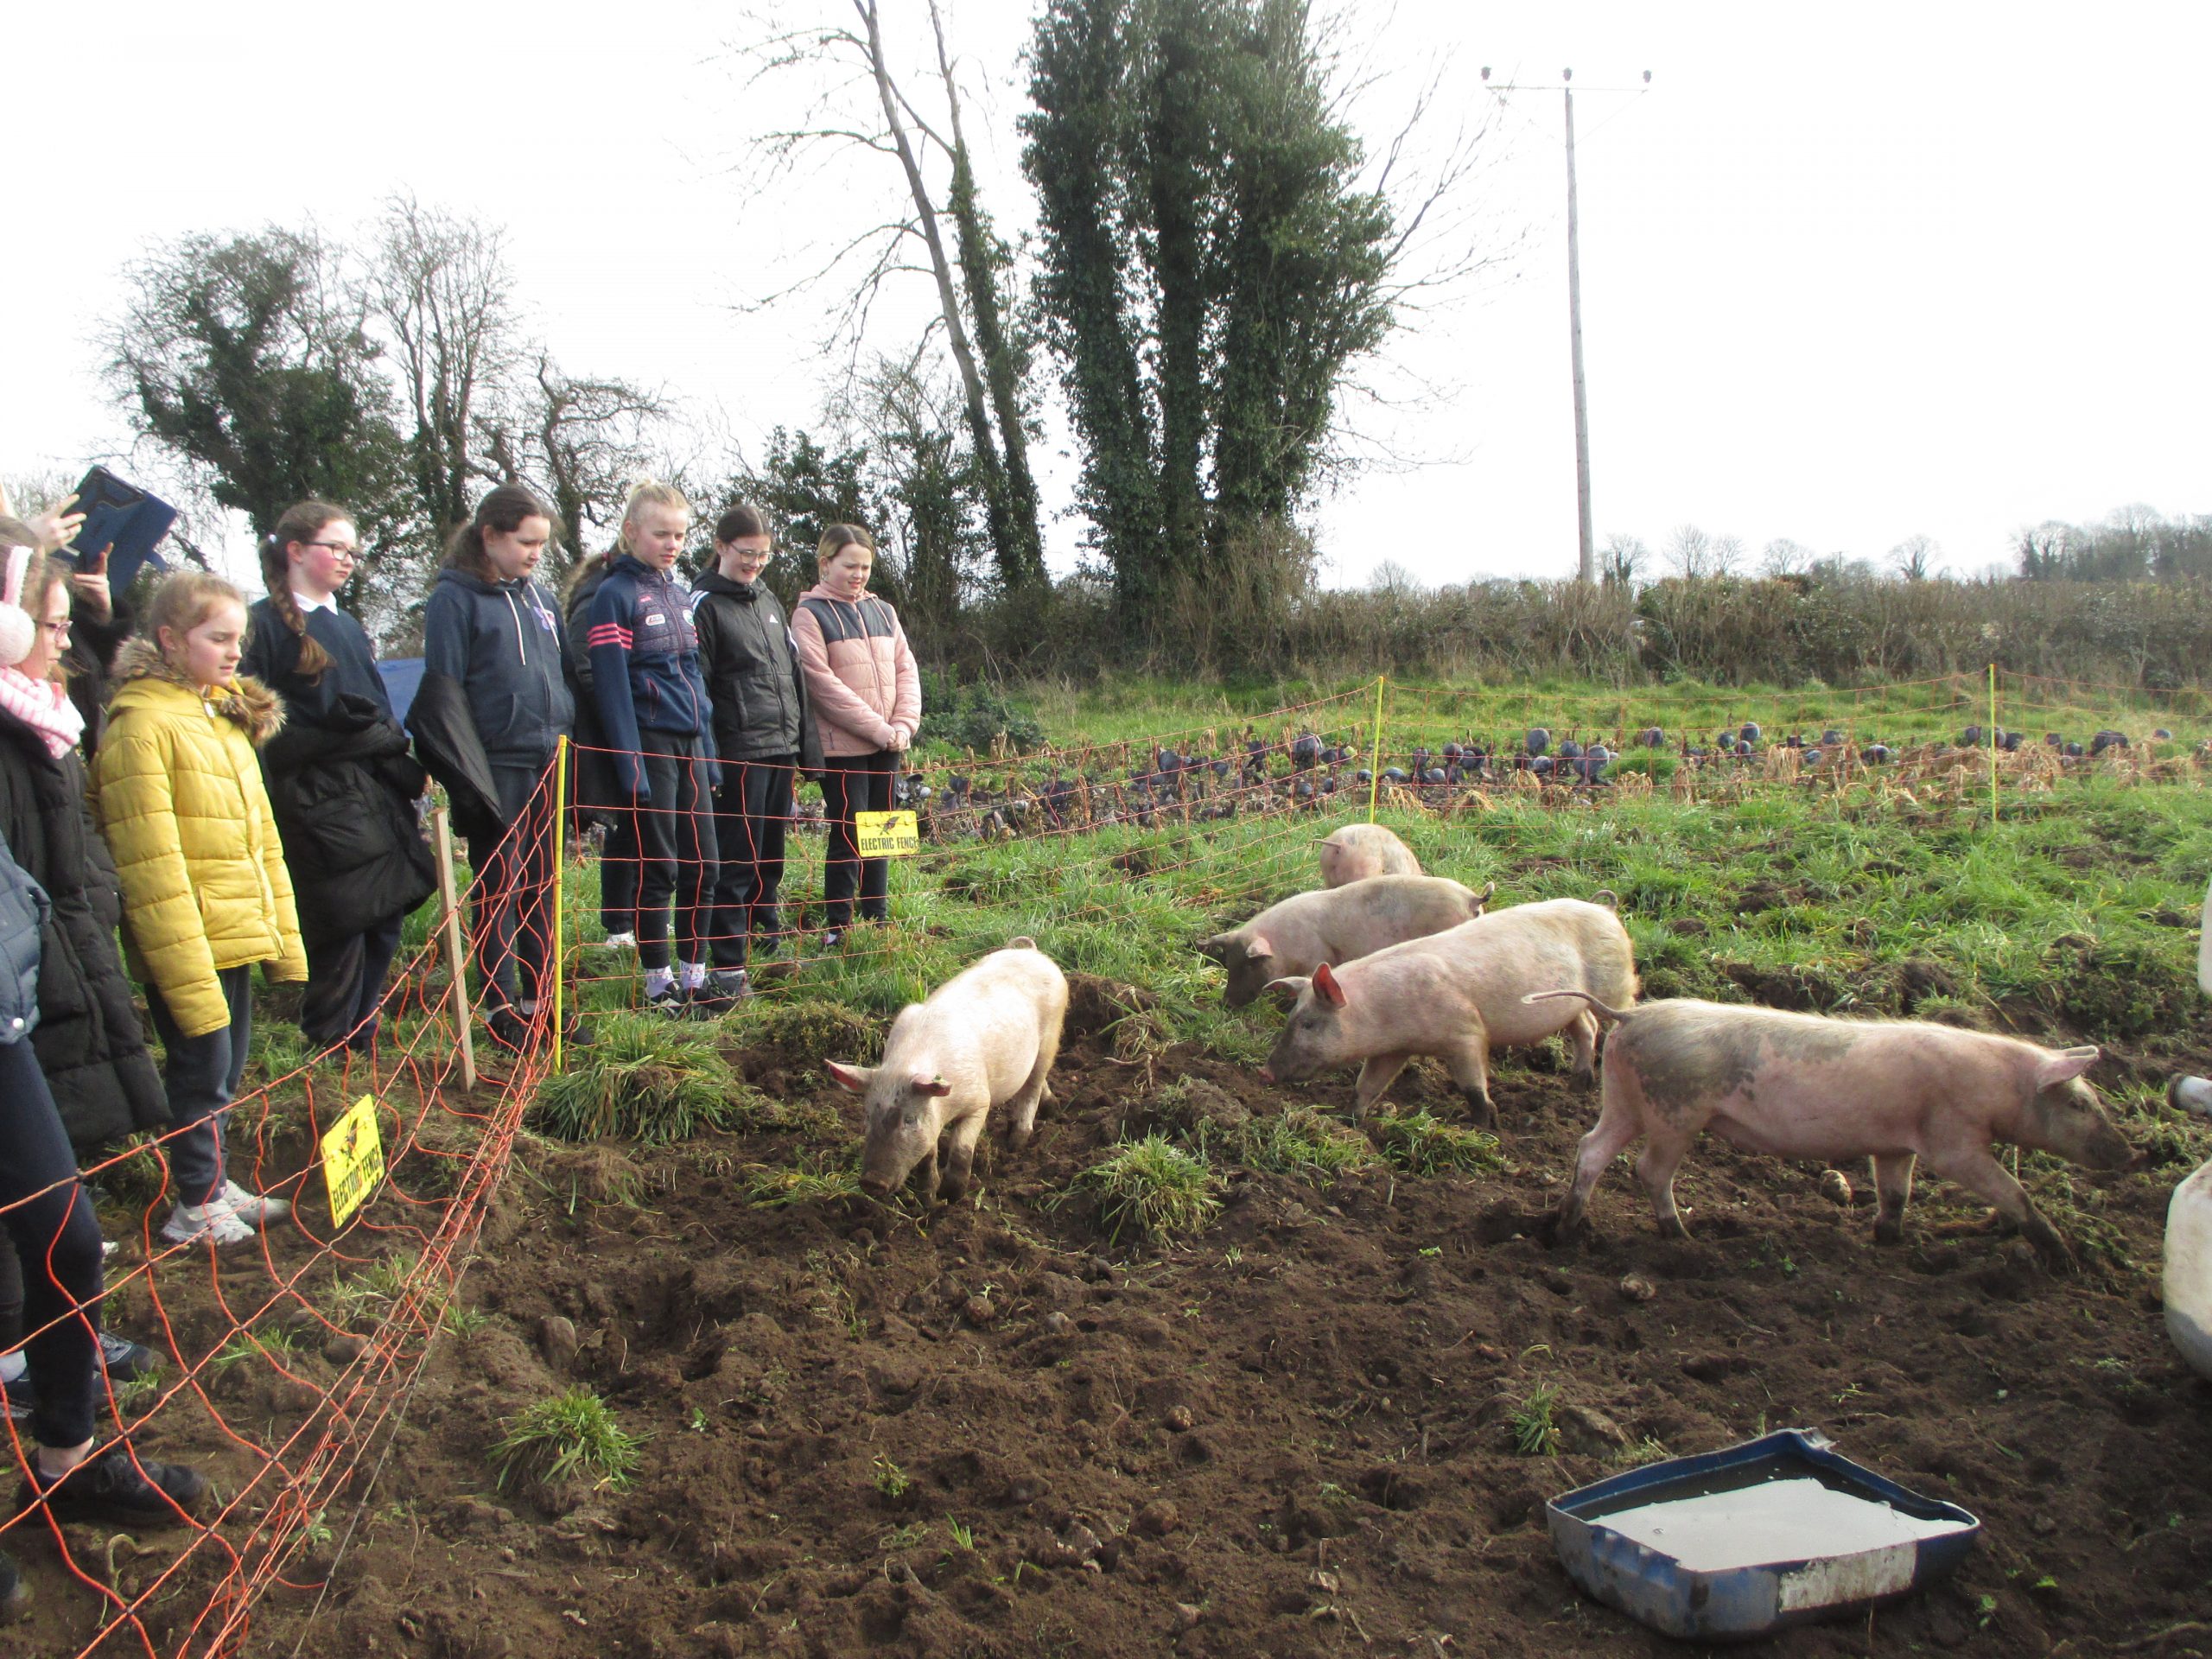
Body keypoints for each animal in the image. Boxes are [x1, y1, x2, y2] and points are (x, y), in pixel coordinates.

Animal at [831, 942, 1071, 1203]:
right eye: (867, 1115)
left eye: (910, 1119)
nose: (872, 1182)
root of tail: (1032, 952)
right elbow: (926, 1158)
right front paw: (929, 1199)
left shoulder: (980, 1102)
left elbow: (961, 1149)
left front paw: (952, 1196)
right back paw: (1053, 1109)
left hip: (1050, 1036)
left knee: (1033, 1086)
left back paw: (1016, 1143)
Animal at [1203, 875, 1495, 1008]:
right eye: (1228, 964)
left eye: (1250, 965)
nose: (1226, 1003)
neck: (1285, 946)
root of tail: (1472, 899)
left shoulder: (1315, 959)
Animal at [1256, 902, 1637, 1123]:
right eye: (1290, 1019)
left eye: (1309, 1024)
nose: (1265, 1072)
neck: (1383, 1010)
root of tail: (1606, 909)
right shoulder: (1393, 1050)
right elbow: (1368, 1084)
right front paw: (1349, 1120)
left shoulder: (1466, 1033)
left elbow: (1472, 1085)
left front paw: (1484, 1125)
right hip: (1572, 1005)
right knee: (1586, 1027)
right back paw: (1578, 1085)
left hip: (1616, 985)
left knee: (1617, 1017)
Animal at [1530, 1000, 2132, 1274]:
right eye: (2079, 1103)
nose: (2133, 1155)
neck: (1995, 1087)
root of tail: (1631, 1014)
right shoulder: (1952, 1140)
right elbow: (2011, 1191)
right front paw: (2065, 1259)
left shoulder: (1895, 1144)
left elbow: (1896, 1193)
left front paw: (1888, 1241)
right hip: (1677, 1112)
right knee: (1648, 1170)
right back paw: (1684, 1240)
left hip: (1627, 1099)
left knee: (1592, 1149)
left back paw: (1568, 1229)